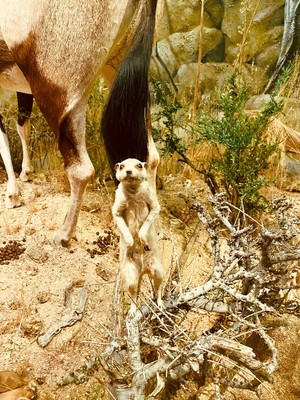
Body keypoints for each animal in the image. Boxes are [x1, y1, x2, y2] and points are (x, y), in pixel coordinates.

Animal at [0, 0, 158, 245]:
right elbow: (21, 124)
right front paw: (25, 173)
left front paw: (12, 195)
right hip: (116, 70)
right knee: (151, 157)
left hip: (61, 97)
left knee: (81, 170)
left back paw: (63, 235)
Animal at [112, 138, 164, 316]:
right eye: (121, 166)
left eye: (139, 165)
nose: (128, 171)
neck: (134, 194)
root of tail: (143, 271)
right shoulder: (118, 202)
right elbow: (117, 216)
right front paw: (130, 242)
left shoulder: (151, 199)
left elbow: (154, 211)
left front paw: (142, 238)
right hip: (129, 275)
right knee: (133, 292)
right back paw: (133, 310)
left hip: (158, 269)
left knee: (158, 286)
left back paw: (160, 302)